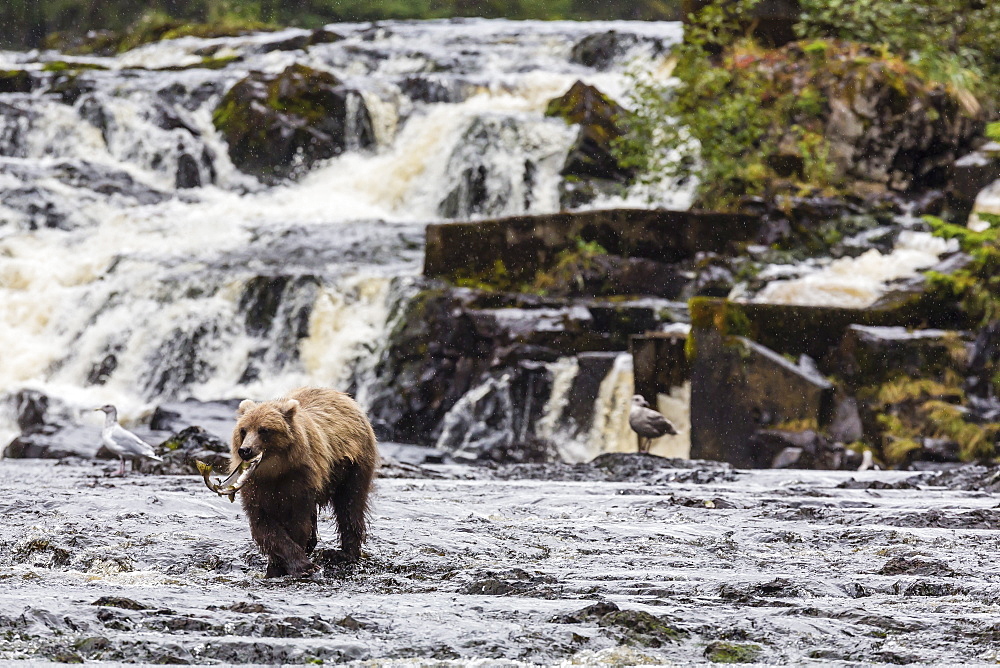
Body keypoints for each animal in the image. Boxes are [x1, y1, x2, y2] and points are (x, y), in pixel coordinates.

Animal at [230, 388, 378, 576]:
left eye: (264, 430)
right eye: (243, 430)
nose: (245, 450)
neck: (274, 471)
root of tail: (346, 397)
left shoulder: (298, 481)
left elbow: (297, 524)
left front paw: (301, 566)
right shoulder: (257, 488)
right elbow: (263, 526)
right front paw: (279, 564)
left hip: (353, 466)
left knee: (350, 504)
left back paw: (343, 553)